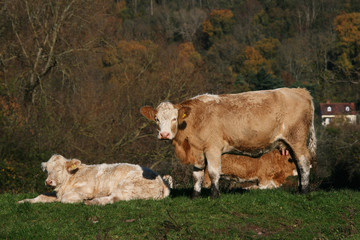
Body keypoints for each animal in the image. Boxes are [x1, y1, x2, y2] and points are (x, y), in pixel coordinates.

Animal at [18, 155, 172, 205]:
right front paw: (23, 201)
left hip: (128, 186)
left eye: (59, 170)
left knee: (114, 199)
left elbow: (66, 199)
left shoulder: (85, 189)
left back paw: (92, 202)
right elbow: (41, 196)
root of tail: (160, 179)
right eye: (47, 170)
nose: (48, 181)